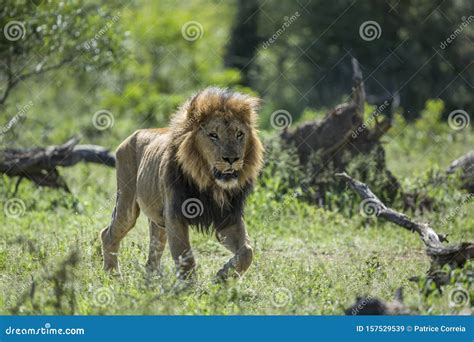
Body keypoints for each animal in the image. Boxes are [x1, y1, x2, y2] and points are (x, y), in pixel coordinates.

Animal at [100, 86, 264, 280]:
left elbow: (247, 251)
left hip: (158, 222)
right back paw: (112, 275)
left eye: (240, 134)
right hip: (127, 205)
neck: (210, 184)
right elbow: (186, 257)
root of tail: (132, 135)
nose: (232, 159)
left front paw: (223, 277)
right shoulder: (175, 215)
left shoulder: (228, 218)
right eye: (213, 135)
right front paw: (189, 286)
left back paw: (152, 281)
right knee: (108, 234)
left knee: (153, 256)